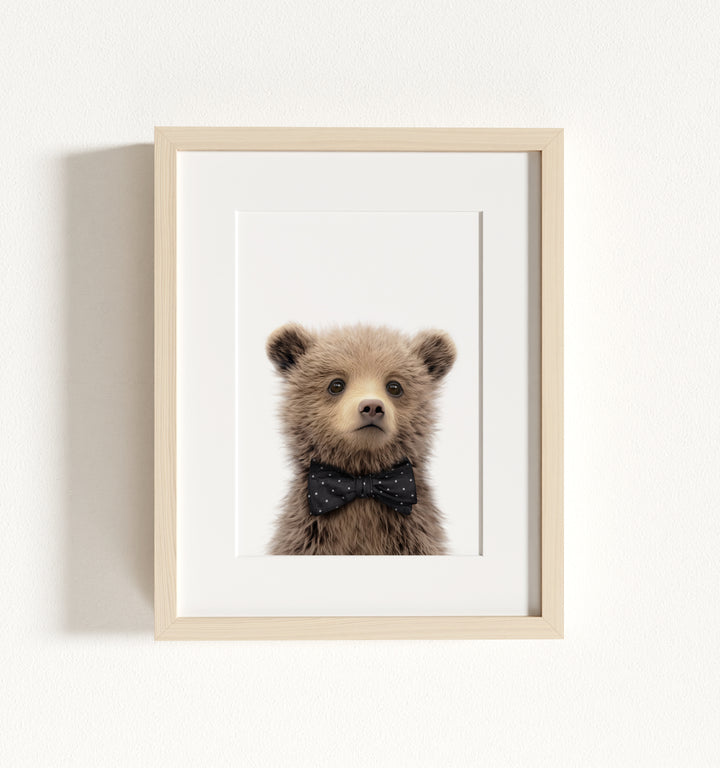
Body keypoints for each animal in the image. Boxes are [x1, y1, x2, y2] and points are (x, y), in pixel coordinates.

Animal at [265, 322, 456, 556]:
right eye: (336, 384)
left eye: (394, 386)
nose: (372, 406)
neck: (362, 474)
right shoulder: (307, 535)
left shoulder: (413, 535)